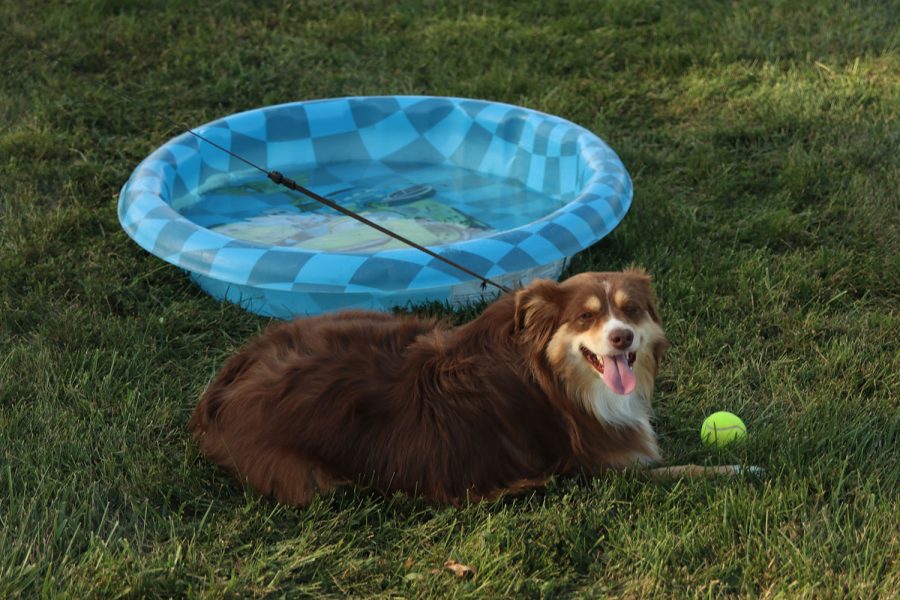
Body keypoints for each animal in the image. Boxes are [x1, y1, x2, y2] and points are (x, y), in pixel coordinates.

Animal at [192, 268, 744, 506]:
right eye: (586, 317)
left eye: (630, 310)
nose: (622, 337)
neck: (551, 377)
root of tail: (220, 393)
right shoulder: (598, 471)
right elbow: (691, 471)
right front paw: (744, 468)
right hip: (313, 480)